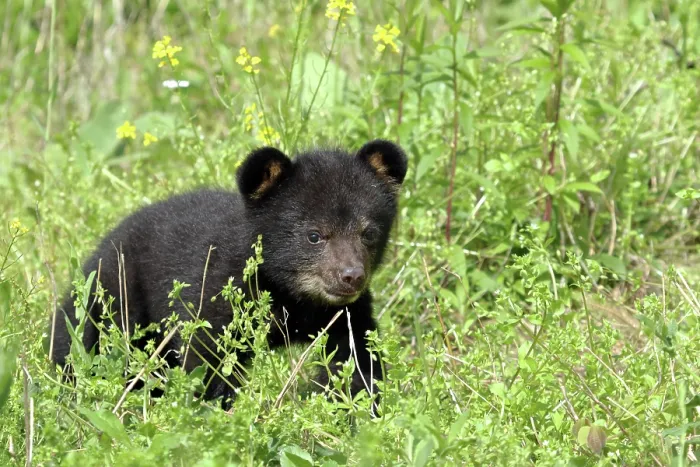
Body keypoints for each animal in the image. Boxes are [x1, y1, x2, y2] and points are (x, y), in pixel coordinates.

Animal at [50, 139, 408, 408]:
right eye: (314, 235)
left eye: (368, 232)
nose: (351, 276)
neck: (292, 297)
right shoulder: (217, 294)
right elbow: (208, 360)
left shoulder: (346, 314)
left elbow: (357, 359)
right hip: (113, 296)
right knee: (78, 340)